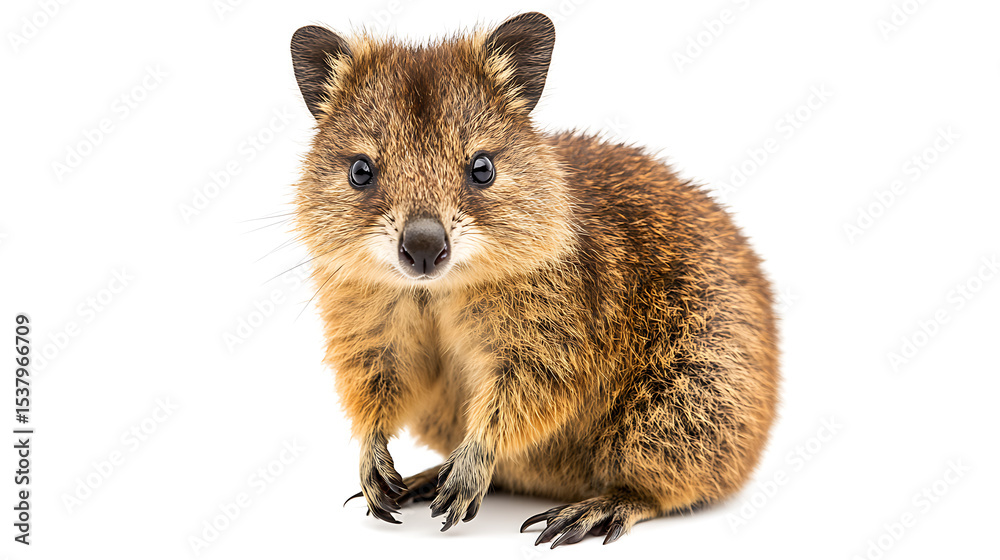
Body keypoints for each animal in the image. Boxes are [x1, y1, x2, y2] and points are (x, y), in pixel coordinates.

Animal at [289, 12, 779, 547]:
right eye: (361, 170)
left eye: (482, 167)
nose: (422, 247)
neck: (436, 291)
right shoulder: (367, 327)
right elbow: (377, 385)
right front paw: (372, 460)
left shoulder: (556, 338)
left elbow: (527, 396)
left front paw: (471, 465)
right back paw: (427, 477)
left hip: (685, 403)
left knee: (662, 488)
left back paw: (596, 507)